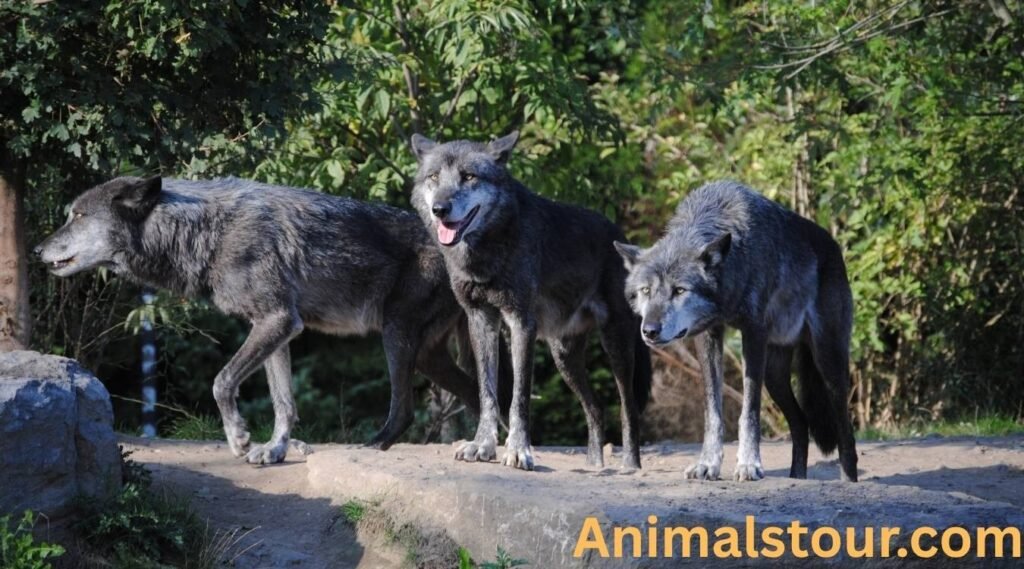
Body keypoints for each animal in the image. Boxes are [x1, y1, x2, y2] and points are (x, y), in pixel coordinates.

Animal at [34, 176, 481, 464]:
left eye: (78, 216)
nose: (37, 250)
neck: (207, 231)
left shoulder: (277, 320)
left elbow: (221, 382)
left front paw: (239, 438)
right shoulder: (277, 329)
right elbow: (284, 403)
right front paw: (275, 450)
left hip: (395, 336)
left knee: (405, 409)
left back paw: (374, 447)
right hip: (427, 356)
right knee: (476, 392)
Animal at [409, 131, 652, 470]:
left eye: (468, 176)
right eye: (433, 177)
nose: (440, 209)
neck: (488, 250)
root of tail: (621, 236)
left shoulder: (521, 322)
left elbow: (519, 397)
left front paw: (518, 451)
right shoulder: (481, 321)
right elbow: (487, 393)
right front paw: (482, 445)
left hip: (616, 345)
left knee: (627, 407)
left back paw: (630, 466)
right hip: (564, 357)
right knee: (596, 407)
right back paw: (595, 466)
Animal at [615, 180, 858, 482]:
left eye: (679, 290)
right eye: (646, 290)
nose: (649, 330)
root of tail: (834, 246)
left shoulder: (753, 334)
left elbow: (749, 410)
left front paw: (749, 464)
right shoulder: (707, 335)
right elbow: (712, 411)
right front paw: (707, 464)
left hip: (827, 362)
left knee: (845, 432)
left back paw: (848, 480)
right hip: (775, 375)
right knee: (801, 424)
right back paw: (796, 477)